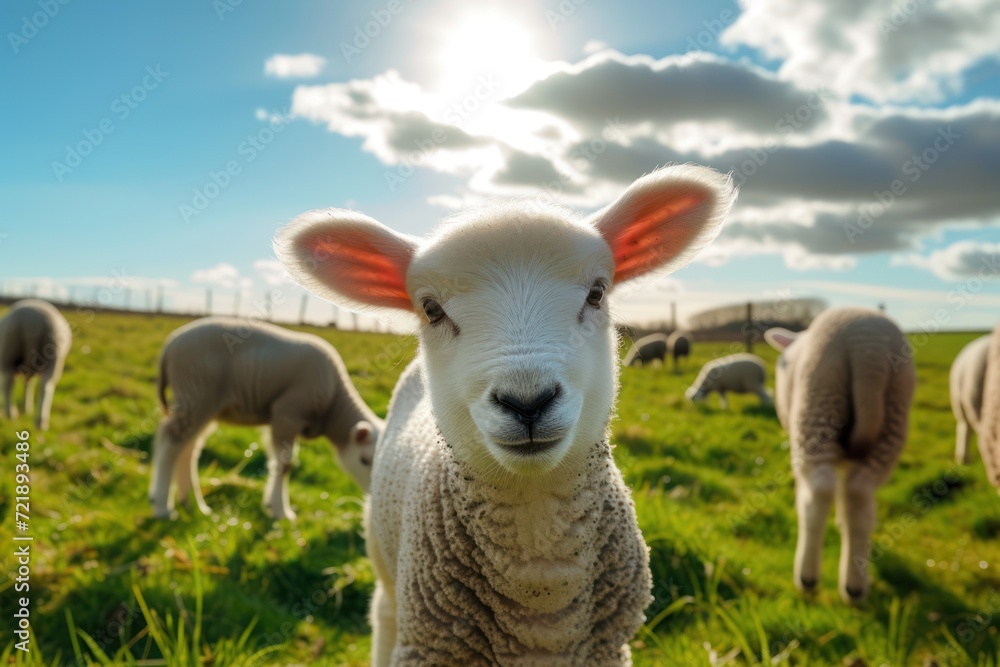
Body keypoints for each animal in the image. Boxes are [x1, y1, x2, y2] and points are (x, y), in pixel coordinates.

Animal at [0, 299, 72, 431]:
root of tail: (33, 323)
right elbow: (28, 384)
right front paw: (26, 408)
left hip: (8, 354)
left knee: (8, 383)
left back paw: (10, 414)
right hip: (55, 356)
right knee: (46, 386)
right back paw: (40, 422)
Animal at [149, 317, 382, 521]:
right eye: (364, 460)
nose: (376, 500)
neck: (333, 405)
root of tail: (170, 344)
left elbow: (280, 462)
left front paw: (273, 506)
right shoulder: (287, 414)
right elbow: (285, 464)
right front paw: (281, 511)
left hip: (203, 405)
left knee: (188, 449)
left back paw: (193, 505)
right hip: (195, 393)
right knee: (170, 443)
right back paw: (161, 506)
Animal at [765, 307, 915, 604]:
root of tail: (869, 346)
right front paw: (841, 523)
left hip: (818, 403)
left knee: (820, 492)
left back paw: (808, 578)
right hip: (892, 414)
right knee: (859, 495)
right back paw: (854, 586)